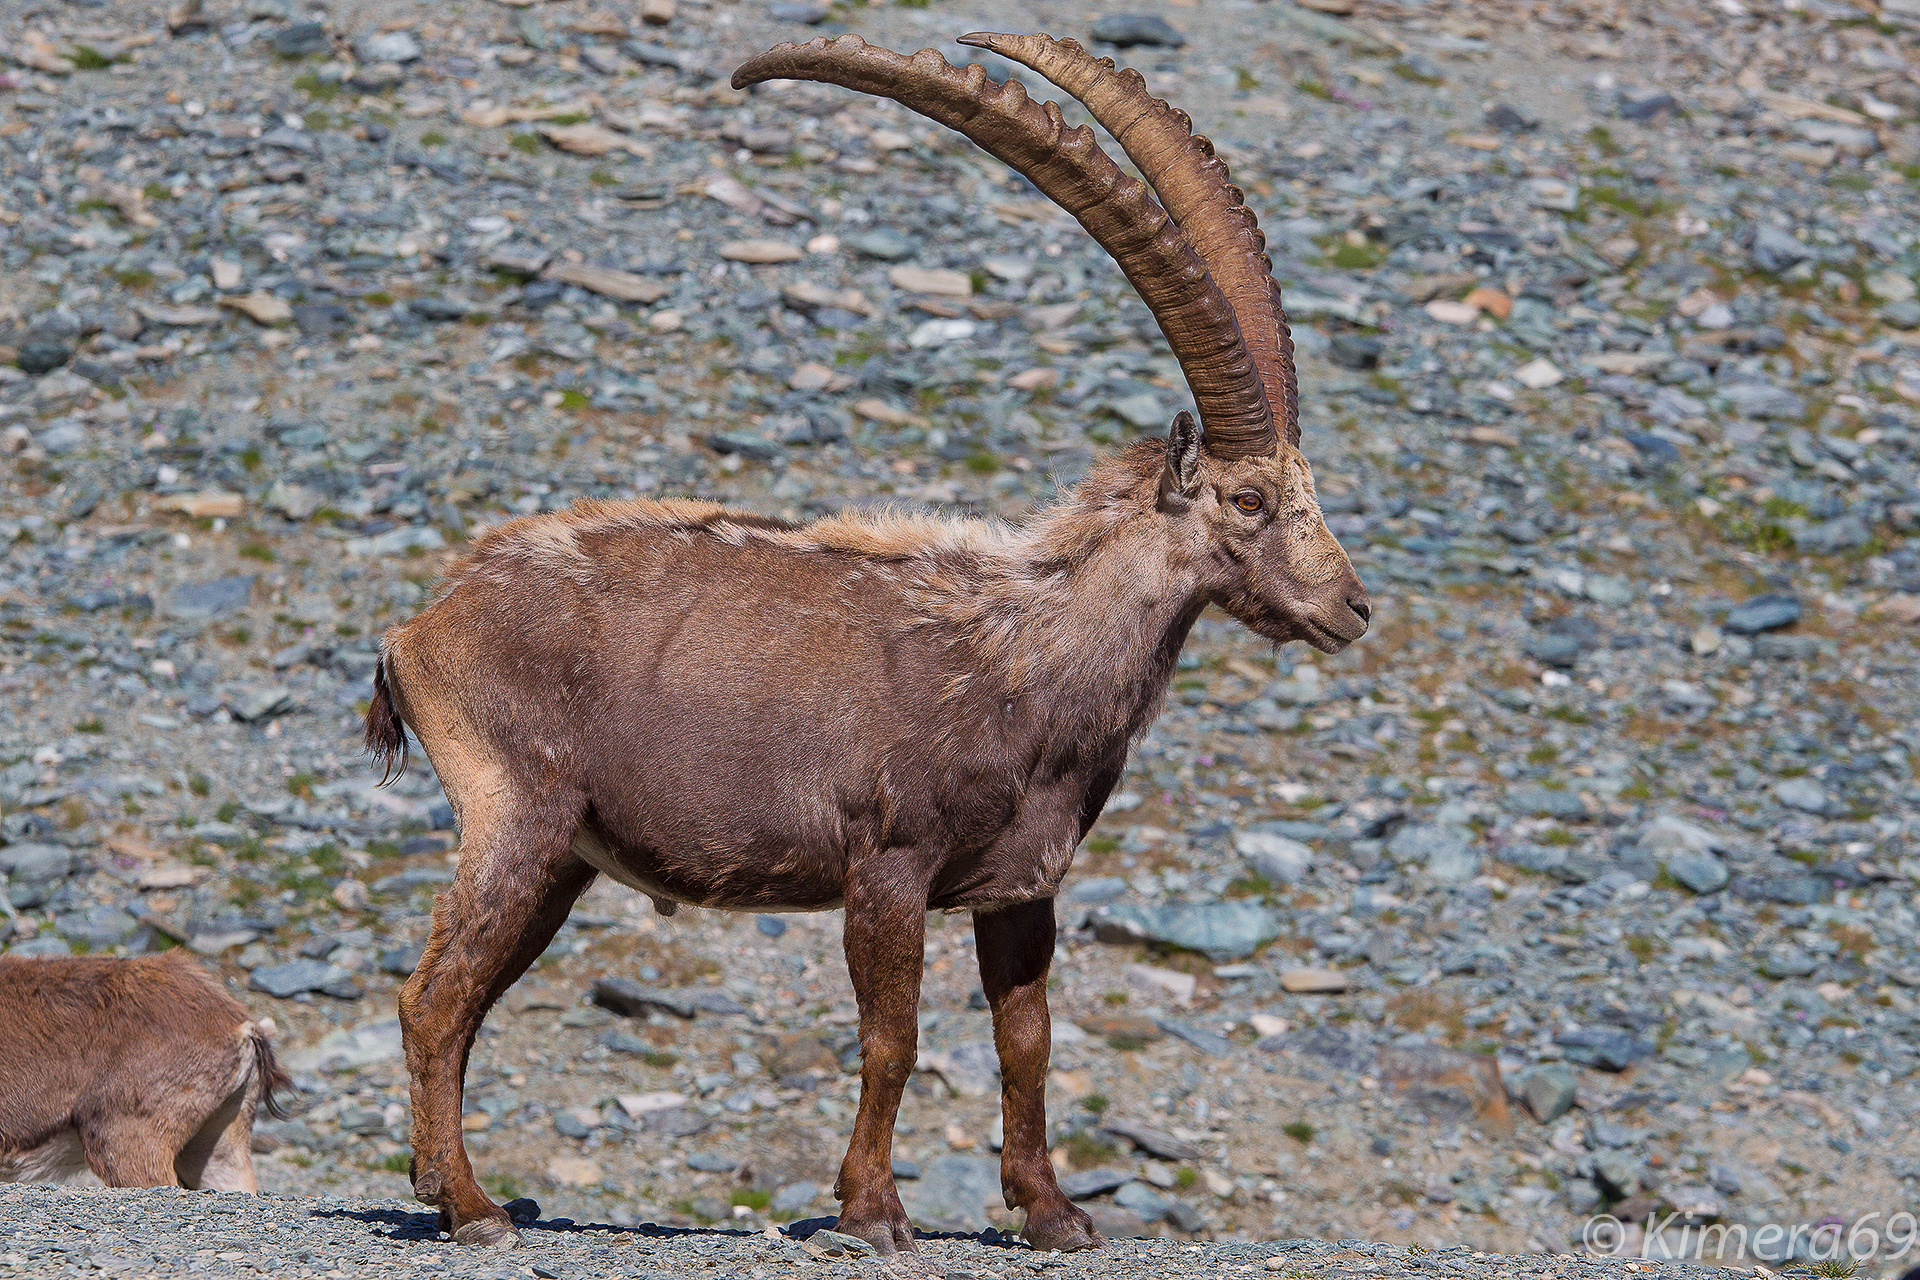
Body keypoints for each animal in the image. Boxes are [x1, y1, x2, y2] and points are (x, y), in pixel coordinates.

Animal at [365, 32, 1368, 1255]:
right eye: (1251, 499)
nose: (1351, 607)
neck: (1030, 656)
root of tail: (425, 623)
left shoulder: (1019, 887)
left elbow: (1028, 1040)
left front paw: (1052, 1213)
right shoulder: (887, 865)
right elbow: (893, 1036)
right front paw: (874, 1209)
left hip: (562, 858)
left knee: (462, 1003)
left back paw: (448, 1187)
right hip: (518, 814)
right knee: (435, 996)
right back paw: (469, 1207)